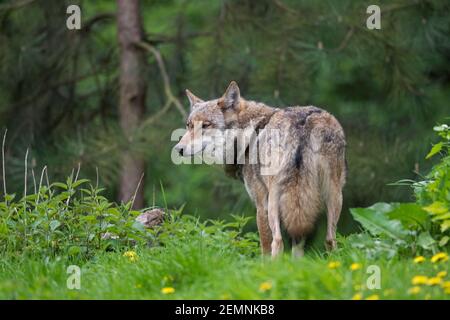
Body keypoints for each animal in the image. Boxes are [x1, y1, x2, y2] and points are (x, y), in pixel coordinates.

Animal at [174, 81, 346, 256]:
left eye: (206, 125)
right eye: (188, 125)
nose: (178, 149)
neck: (247, 134)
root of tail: (303, 125)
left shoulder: (261, 205)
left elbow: (264, 248)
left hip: (275, 201)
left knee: (278, 241)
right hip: (333, 196)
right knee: (329, 239)